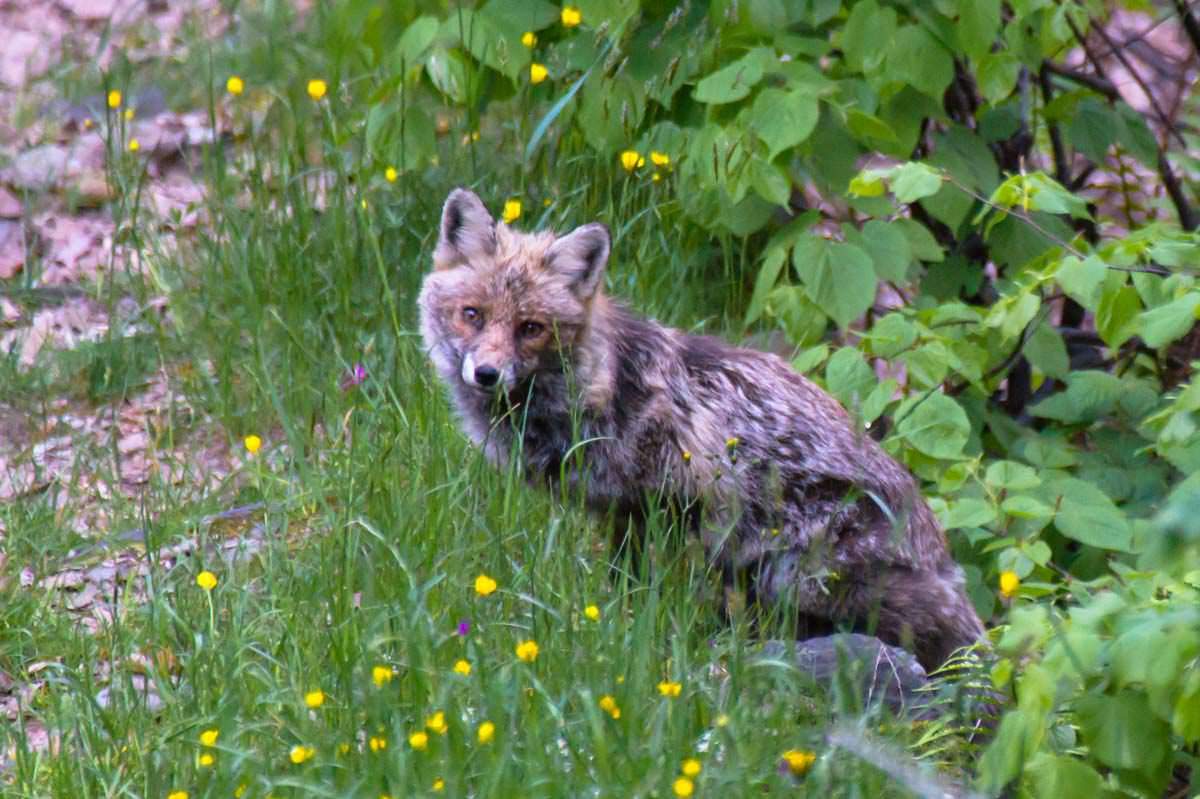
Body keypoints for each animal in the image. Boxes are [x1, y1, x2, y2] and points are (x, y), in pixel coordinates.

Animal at [420, 187, 984, 667]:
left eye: (530, 328)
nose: (486, 374)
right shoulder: (622, 513)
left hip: (797, 575)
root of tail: (940, 555)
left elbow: (636, 587)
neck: (602, 389)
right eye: (472, 314)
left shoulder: (663, 505)